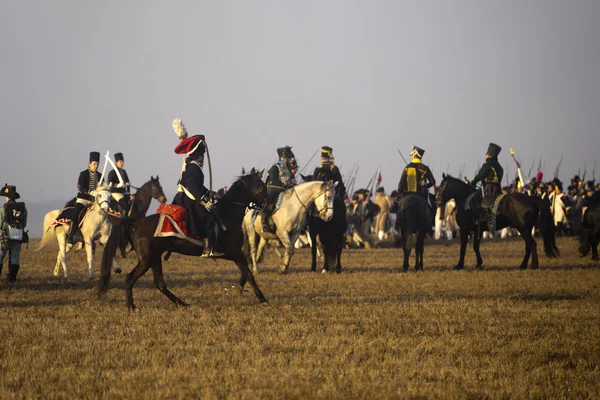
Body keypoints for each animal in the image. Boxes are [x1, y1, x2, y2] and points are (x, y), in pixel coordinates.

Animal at [98, 169, 270, 310]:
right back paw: (131, 306)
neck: (227, 214)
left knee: (159, 283)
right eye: (262, 187)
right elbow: (249, 274)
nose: (269, 205)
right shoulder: (235, 253)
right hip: (146, 260)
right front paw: (262, 298)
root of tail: (137, 222)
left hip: (154, 258)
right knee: (130, 278)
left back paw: (181, 303)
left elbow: (247, 272)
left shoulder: (235, 254)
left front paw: (242, 289)